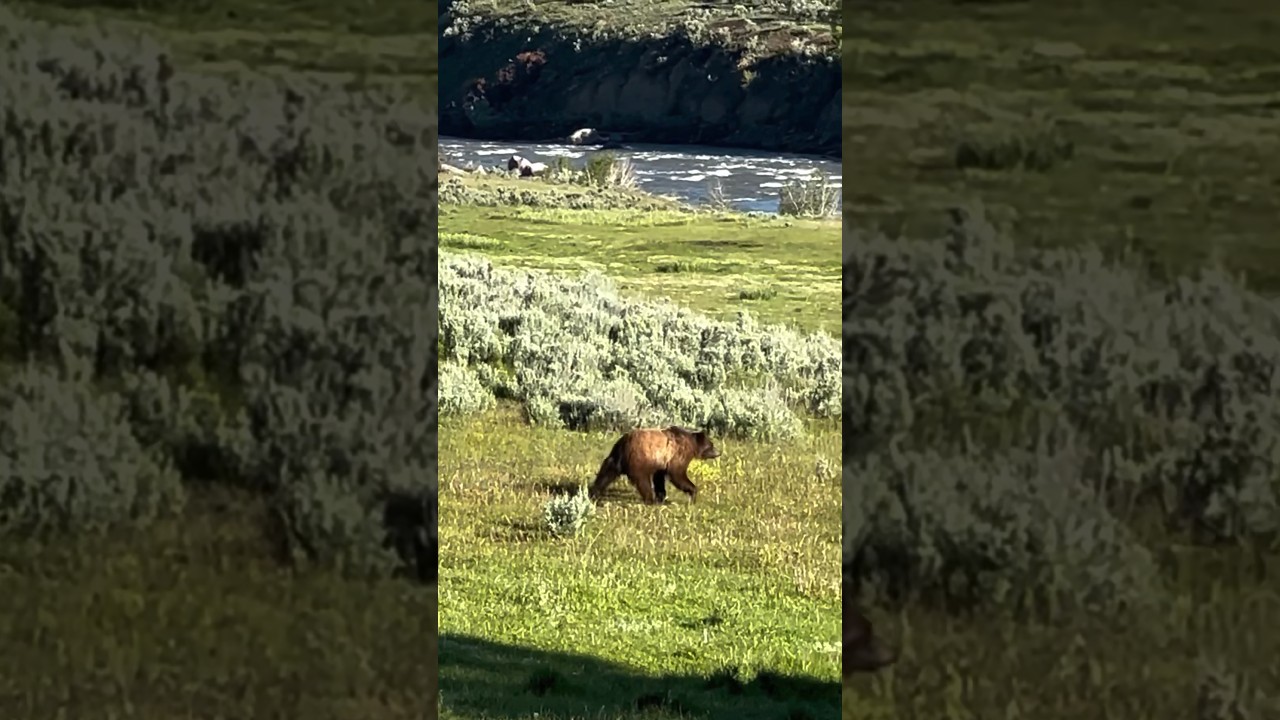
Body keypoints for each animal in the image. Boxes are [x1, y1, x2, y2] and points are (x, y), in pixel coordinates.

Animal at [587, 426, 721, 504]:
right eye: (712, 445)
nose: (719, 452)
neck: (692, 445)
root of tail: (624, 443)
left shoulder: (662, 461)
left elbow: (659, 478)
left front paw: (661, 496)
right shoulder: (678, 454)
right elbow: (678, 475)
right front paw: (693, 492)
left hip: (615, 458)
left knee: (606, 473)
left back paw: (593, 493)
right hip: (639, 460)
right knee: (643, 481)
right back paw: (649, 499)